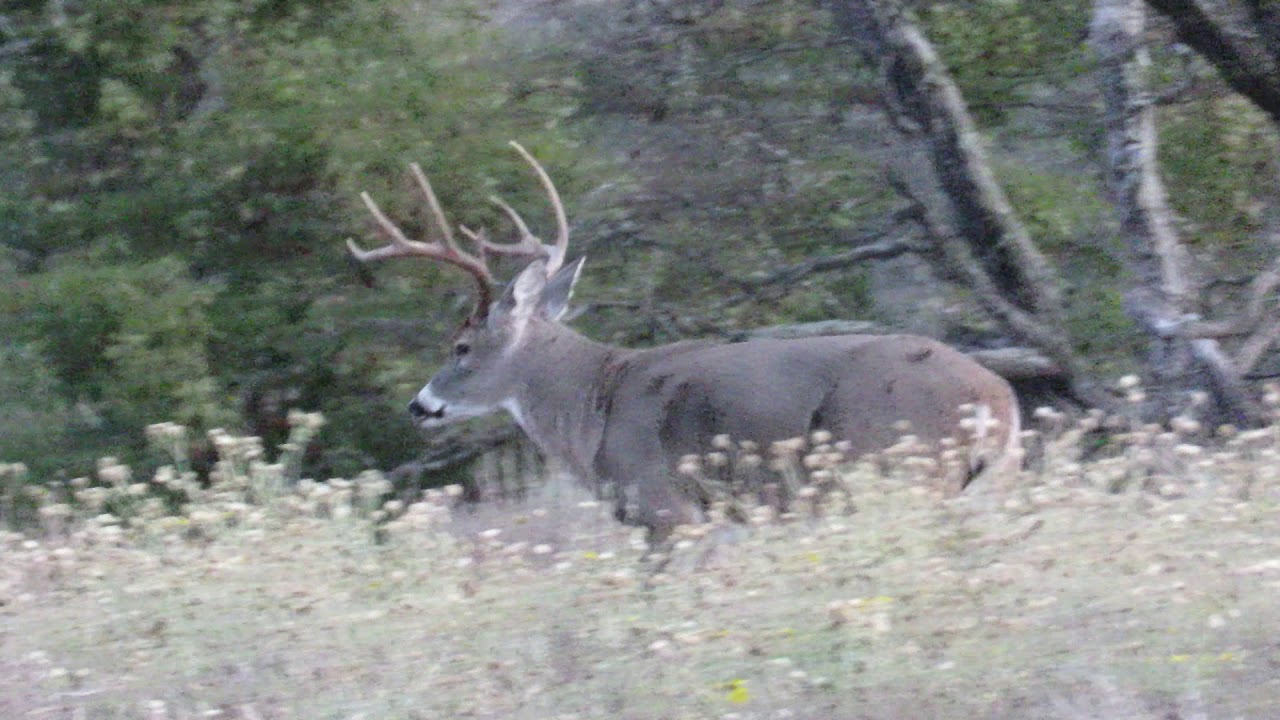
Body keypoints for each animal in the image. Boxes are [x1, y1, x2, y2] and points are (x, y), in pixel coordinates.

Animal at [346, 142, 1022, 541]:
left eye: (460, 347)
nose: (419, 406)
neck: (592, 405)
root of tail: (997, 399)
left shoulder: (664, 509)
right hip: (985, 480)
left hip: (893, 469)